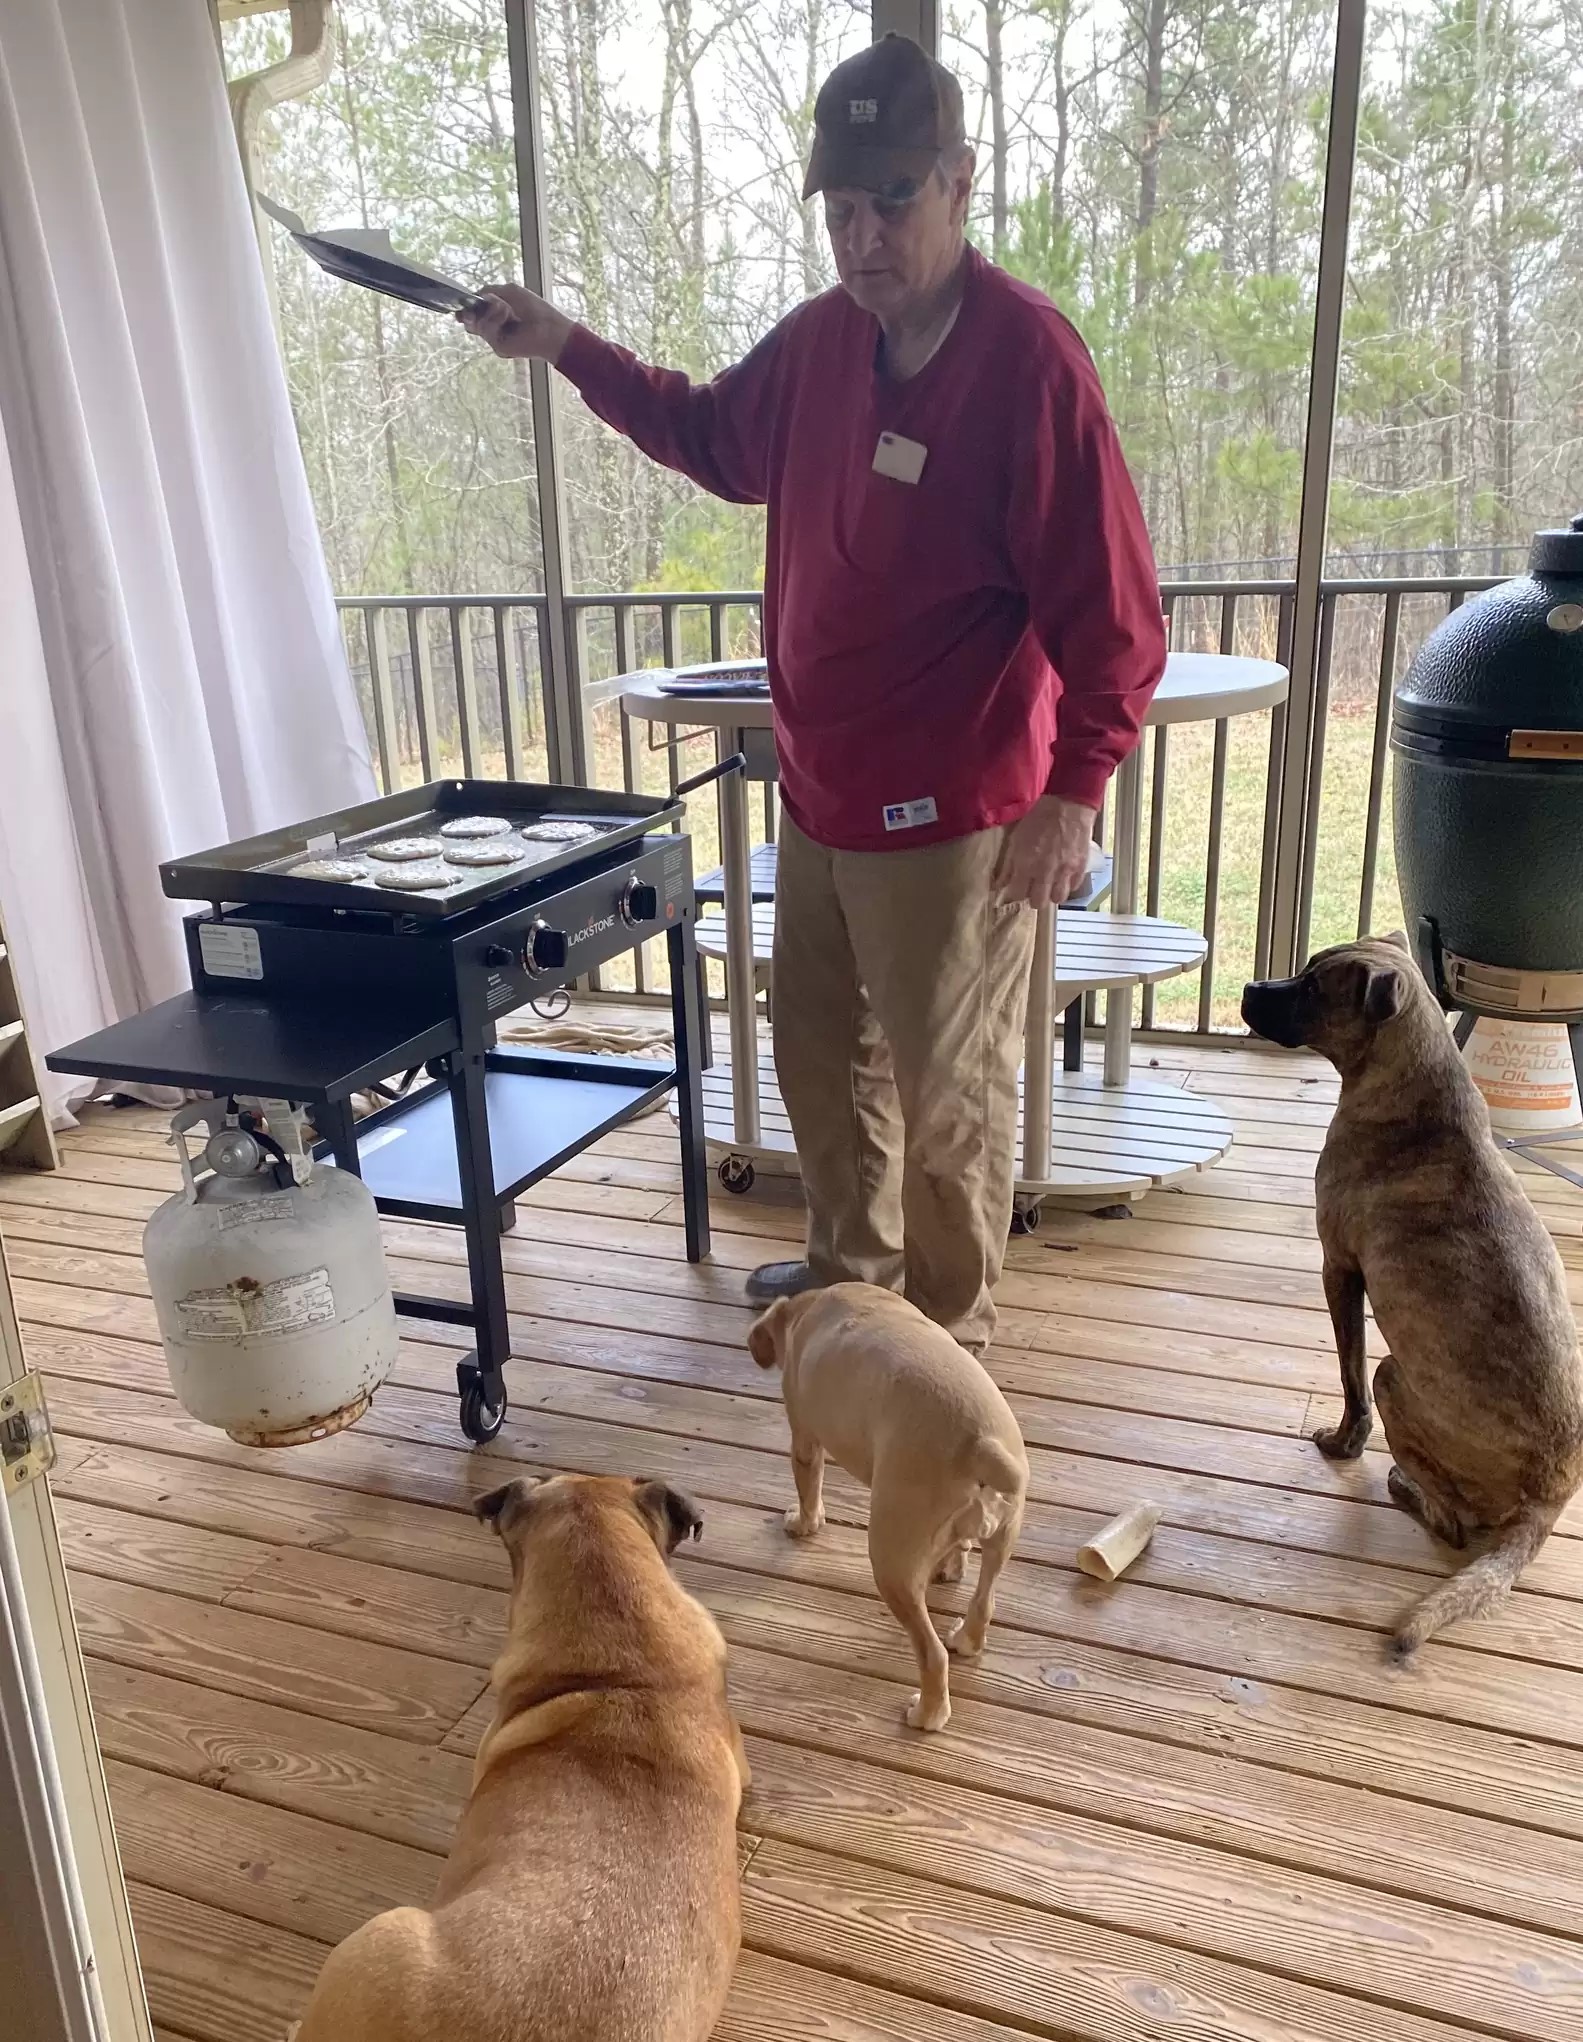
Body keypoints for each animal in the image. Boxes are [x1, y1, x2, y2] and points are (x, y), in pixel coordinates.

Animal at [751, 1282, 1033, 1731]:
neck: (808, 1309)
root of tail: (980, 1445)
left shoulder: (805, 1438)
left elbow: (808, 1487)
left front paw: (804, 1522)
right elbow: (958, 1550)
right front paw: (951, 1565)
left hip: (892, 1566)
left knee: (932, 1655)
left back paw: (927, 1714)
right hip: (1002, 1538)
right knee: (983, 1601)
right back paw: (966, 1636)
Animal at [1241, 939, 1583, 1658]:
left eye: (1313, 988)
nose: (1251, 988)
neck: (1412, 1086)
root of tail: (1545, 1504)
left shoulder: (1339, 1267)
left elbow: (1347, 1375)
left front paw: (1343, 1444)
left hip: (1394, 1375)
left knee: (1451, 1526)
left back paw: (1403, 1486)